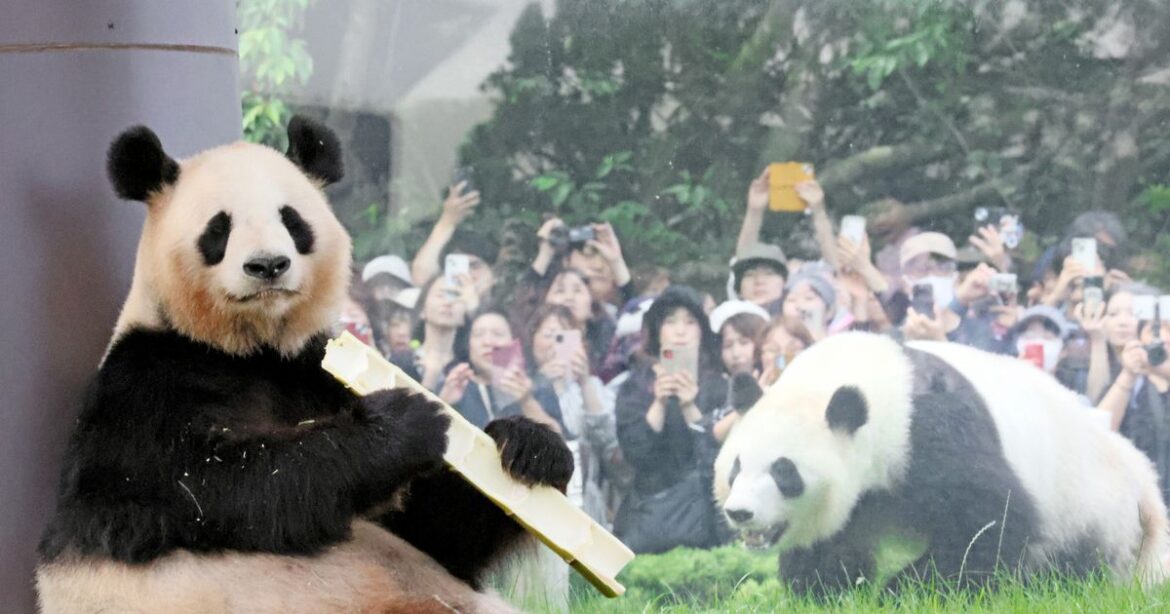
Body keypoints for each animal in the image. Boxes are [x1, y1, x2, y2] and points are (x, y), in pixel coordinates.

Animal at [35, 117, 572, 614]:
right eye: (219, 228)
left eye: (292, 221)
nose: (268, 265)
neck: (251, 349)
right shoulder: (143, 391)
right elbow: (217, 485)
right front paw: (404, 424)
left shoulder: (311, 371)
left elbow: (438, 534)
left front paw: (531, 445)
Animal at [714, 332, 1169, 597]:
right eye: (735, 468)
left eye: (783, 471)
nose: (740, 513)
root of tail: (1143, 476)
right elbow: (831, 545)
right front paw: (827, 589)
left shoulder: (933, 432)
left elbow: (990, 523)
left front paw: (904, 592)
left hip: (1088, 507)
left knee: (1069, 569)